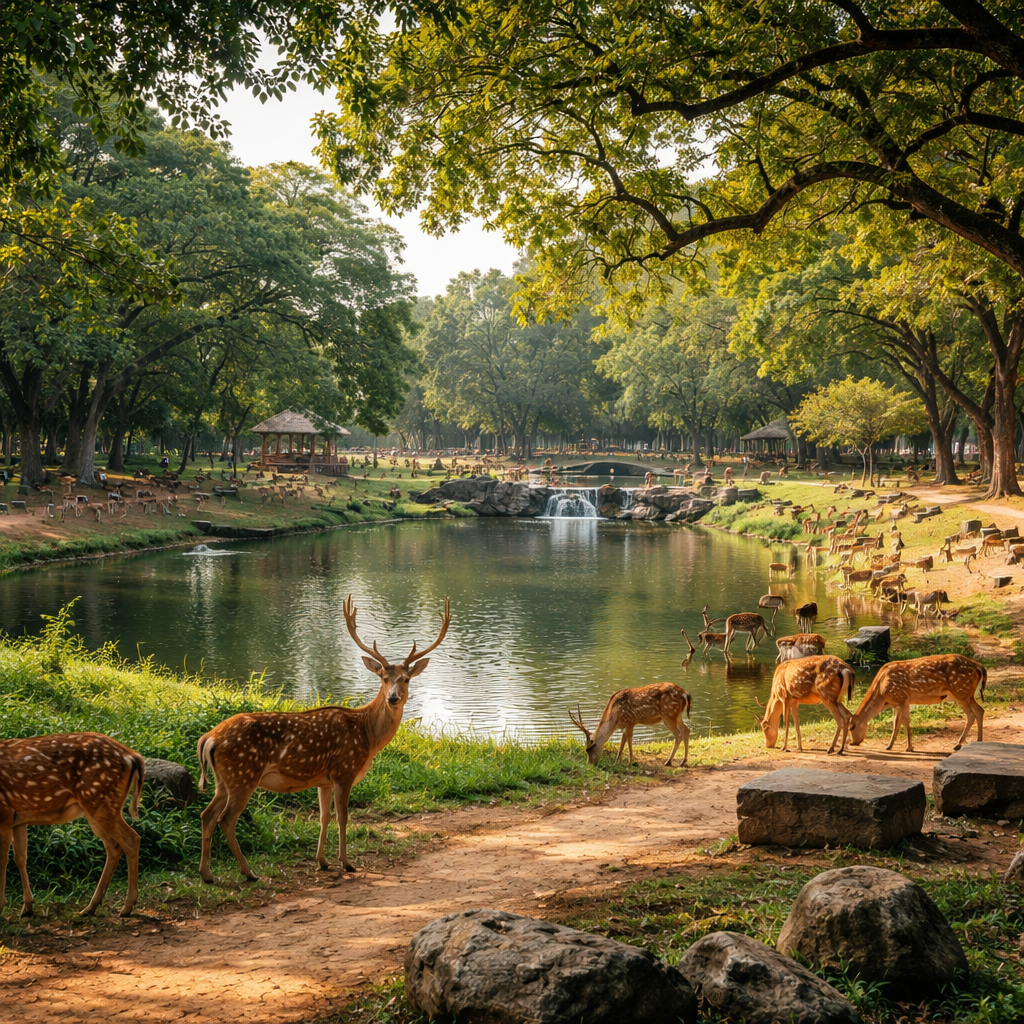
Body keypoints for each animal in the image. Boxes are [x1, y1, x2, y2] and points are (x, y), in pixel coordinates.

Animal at [0, 733, 144, 918]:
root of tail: (132, 756)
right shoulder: (18, 819)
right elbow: (20, 858)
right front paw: (27, 907)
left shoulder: (4, 814)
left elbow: (3, 859)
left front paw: (2, 907)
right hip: (95, 808)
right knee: (114, 846)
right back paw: (90, 907)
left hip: (99, 801)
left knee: (131, 839)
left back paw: (126, 907)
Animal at [197, 595, 450, 883]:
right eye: (384, 678)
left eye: (406, 679)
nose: (393, 697)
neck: (366, 736)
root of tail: (209, 738)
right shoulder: (344, 770)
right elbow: (343, 817)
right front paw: (347, 863)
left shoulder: (324, 780)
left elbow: (324, 817)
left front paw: (322, 862)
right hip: (243, 775)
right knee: (226, 819)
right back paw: (249, 872)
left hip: (224, 780)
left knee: (206, 815)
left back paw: (208, 875)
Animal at [849, 654, 986, 752]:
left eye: (852, 727)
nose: (852, 743)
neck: (881, 693)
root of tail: (979, 666)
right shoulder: (897, 703)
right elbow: (896, 723)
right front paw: (889, 746)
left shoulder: (902, 698)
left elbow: (905, 721)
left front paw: (909, 747)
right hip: (968, 695)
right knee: (980, 710)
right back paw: (978, 742)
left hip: (960, 691)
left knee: (971, 715)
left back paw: (958, 744)